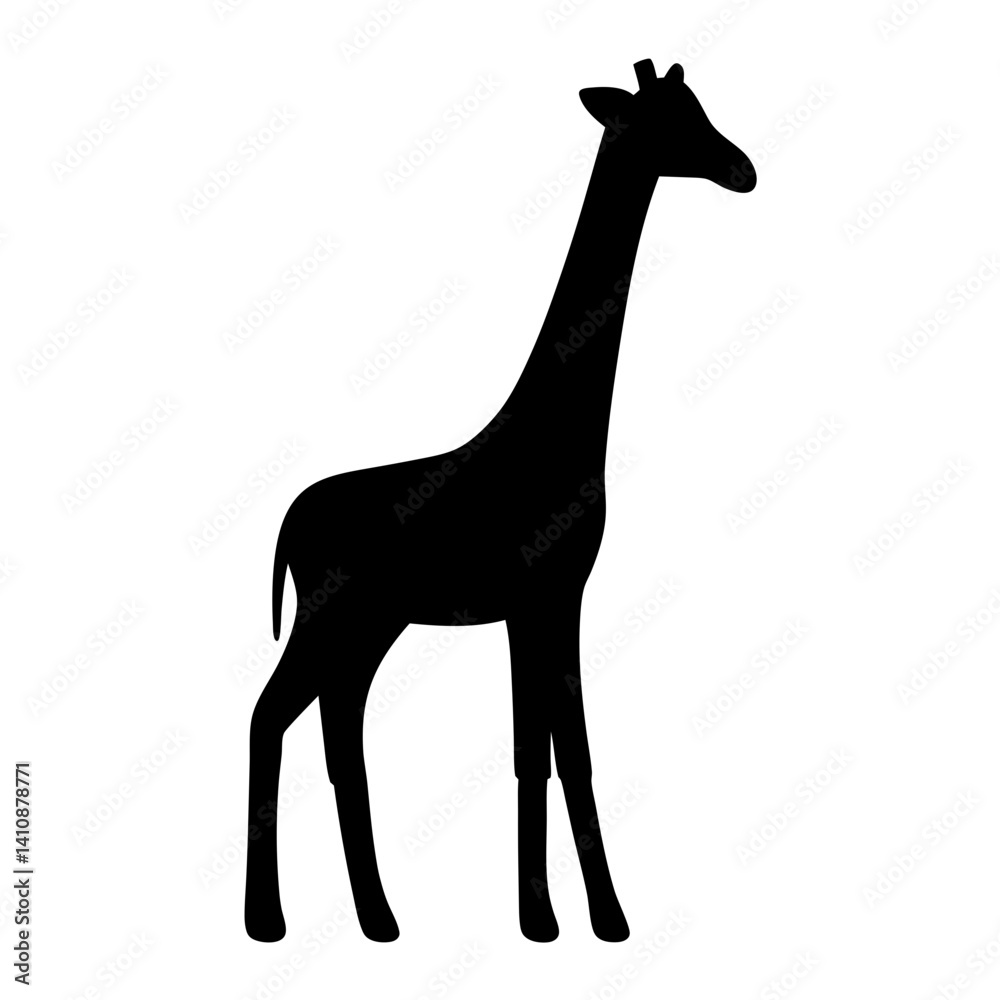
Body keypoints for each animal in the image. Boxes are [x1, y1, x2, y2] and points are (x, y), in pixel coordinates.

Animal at [244, 58, 755, 945]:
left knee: (339, 727)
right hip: (331, 615)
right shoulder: (539, 595)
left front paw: (576, 918)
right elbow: (545, 748)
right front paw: (568, 920)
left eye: (699, 108)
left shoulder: (553, 597)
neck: (560, 432)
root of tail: (287, 526)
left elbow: (554, 748)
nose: (743, 169)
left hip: (371, 624)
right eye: (668, 121)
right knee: (269, 715)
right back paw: (269, 921)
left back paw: (379, 919)